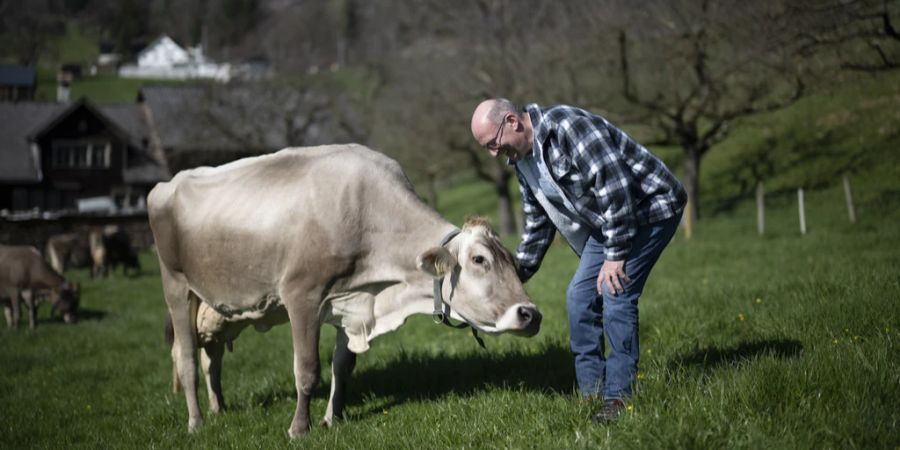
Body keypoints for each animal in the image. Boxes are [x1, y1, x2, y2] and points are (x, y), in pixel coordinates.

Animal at [150, 145, 540, 440]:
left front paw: (332, 418)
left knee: (211, 358)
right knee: (185, 358)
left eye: (514, 262)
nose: (530, 314)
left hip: (214, 307)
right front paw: (299, 428)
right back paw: (196, 422)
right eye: (479, 259)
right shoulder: (301, 295)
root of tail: (167, 184)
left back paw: (219, 409)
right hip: (176, 286)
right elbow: (307, 370)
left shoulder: (351, 302)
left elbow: (343, 365)